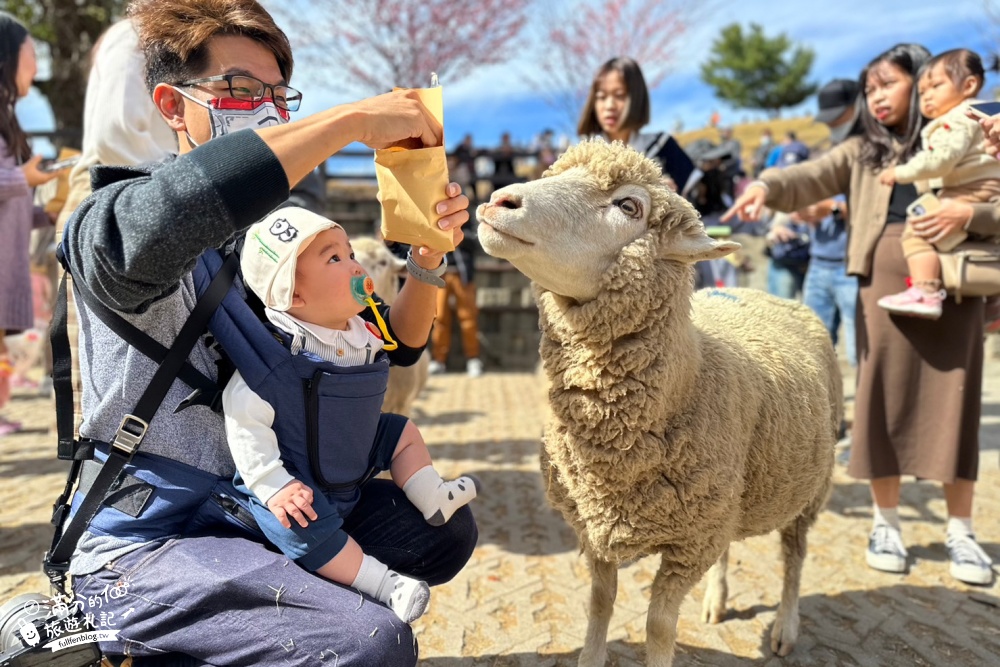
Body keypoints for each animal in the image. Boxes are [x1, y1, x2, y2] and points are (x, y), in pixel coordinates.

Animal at [472, 138, 840, 664]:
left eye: (629, 206)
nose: (498, 200)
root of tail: (760, 293)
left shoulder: (689, 543)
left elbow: (660, 626)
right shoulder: (599, 526)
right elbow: (599, 603)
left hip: (808, 487)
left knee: (794, 554)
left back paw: (785, 627)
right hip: (728, 498)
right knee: (733, 546)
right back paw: (716, 601)